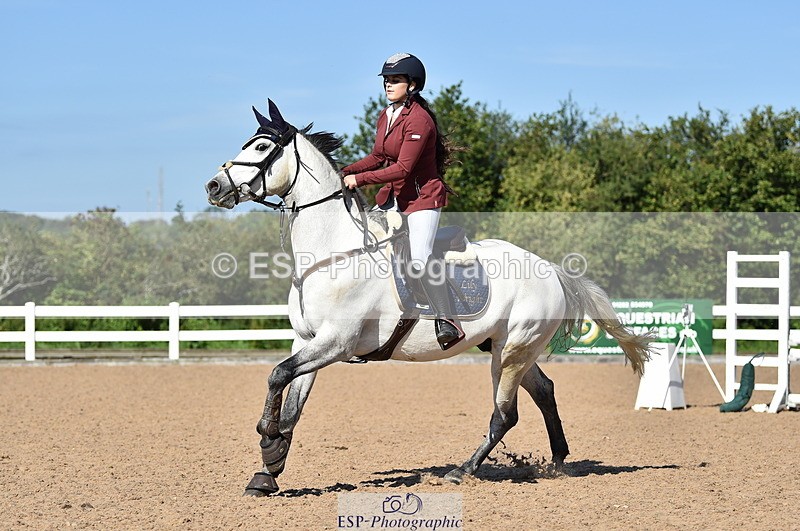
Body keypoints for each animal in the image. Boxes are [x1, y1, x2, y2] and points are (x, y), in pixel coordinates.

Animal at [204, 100, 651, 496]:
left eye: (261, 148)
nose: (214, 187)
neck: (332, 253)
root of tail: (553, 270)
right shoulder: (307, 341)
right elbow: (291, 401)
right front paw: (268, 469)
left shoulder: (336, 342)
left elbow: (277, 375)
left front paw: (268, 439)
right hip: (508, 347)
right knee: (543, 391)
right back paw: (558, 462)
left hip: (512, 351)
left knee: (505, 414)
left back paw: (462, 471)